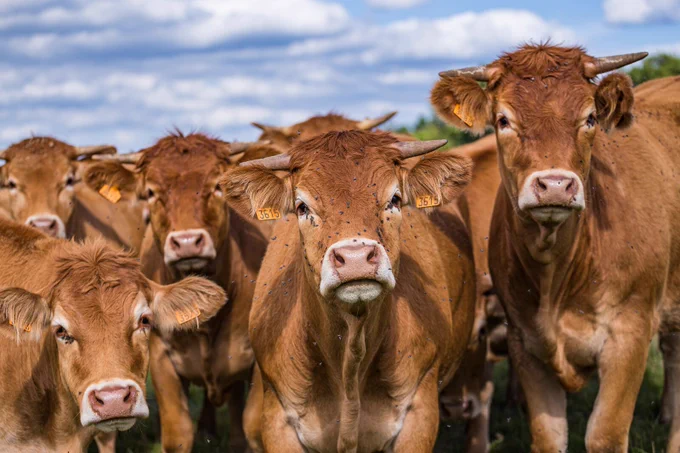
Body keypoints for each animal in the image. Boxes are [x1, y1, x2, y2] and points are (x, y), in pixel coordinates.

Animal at [84, 132, 269, 452]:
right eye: (150, 192)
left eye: (217, 186)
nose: (187, 242)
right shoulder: (161, 358)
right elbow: (178, 433)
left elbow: (254, 425)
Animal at [431, 44, 680, 452]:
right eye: (503, 120)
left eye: (590, 117)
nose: (556, 185)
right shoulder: (525, 340)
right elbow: (548, 436)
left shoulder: (630, 332)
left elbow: (605, 434)